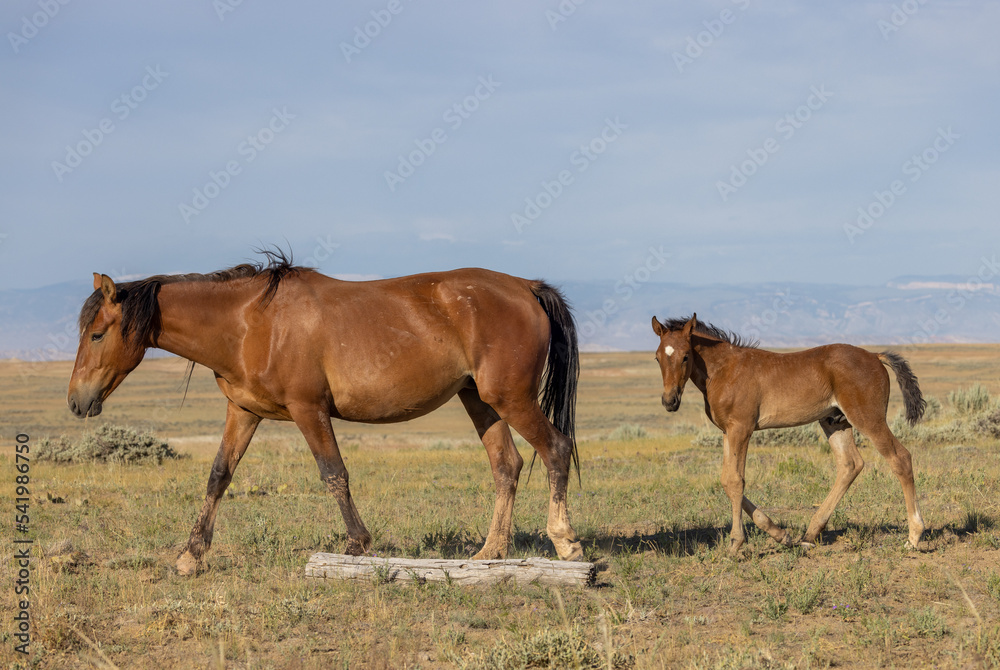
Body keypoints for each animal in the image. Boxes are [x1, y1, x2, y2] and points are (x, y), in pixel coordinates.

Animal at [68, 255, 584, 576]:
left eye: (96, 334)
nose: (76, 402)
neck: (249, 324)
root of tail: (525, 288)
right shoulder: (243, 412)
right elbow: (218, 477)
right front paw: (191, 557)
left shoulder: (308, 410)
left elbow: (334, 473)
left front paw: (356, 545)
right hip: (480, 400)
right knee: (507, 465)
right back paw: (490, 552)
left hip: (510, 398)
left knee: (555, 449)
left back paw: (565, 541)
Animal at [652, 316, 924, 556]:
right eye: (657, 357)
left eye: (685, 356)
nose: (669, 401)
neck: (724, 370)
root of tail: (875, 357)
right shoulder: (727, 432)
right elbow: (726, 480)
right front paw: (782, 535)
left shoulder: (741, 429)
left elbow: (736, 481)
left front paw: (736, 543)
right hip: (834, 422)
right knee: (851, 465)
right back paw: (809, 536)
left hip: (868, 418)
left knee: (900, 458)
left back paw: (914, 536)